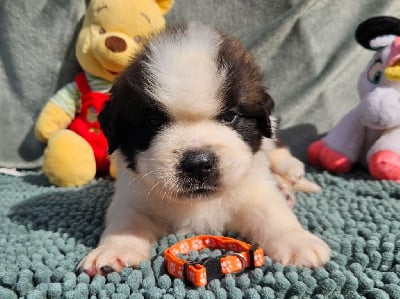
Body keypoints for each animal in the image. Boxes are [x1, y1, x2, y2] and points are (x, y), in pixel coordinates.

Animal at [79, 23, 332, 276]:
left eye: (230, 117)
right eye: (153, 122)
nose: (198, 163)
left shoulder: (254, 189)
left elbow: (272, 213)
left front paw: (297, 241)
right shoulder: (133, 196)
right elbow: (126, 221)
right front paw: (113, 251)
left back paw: (292, 171)